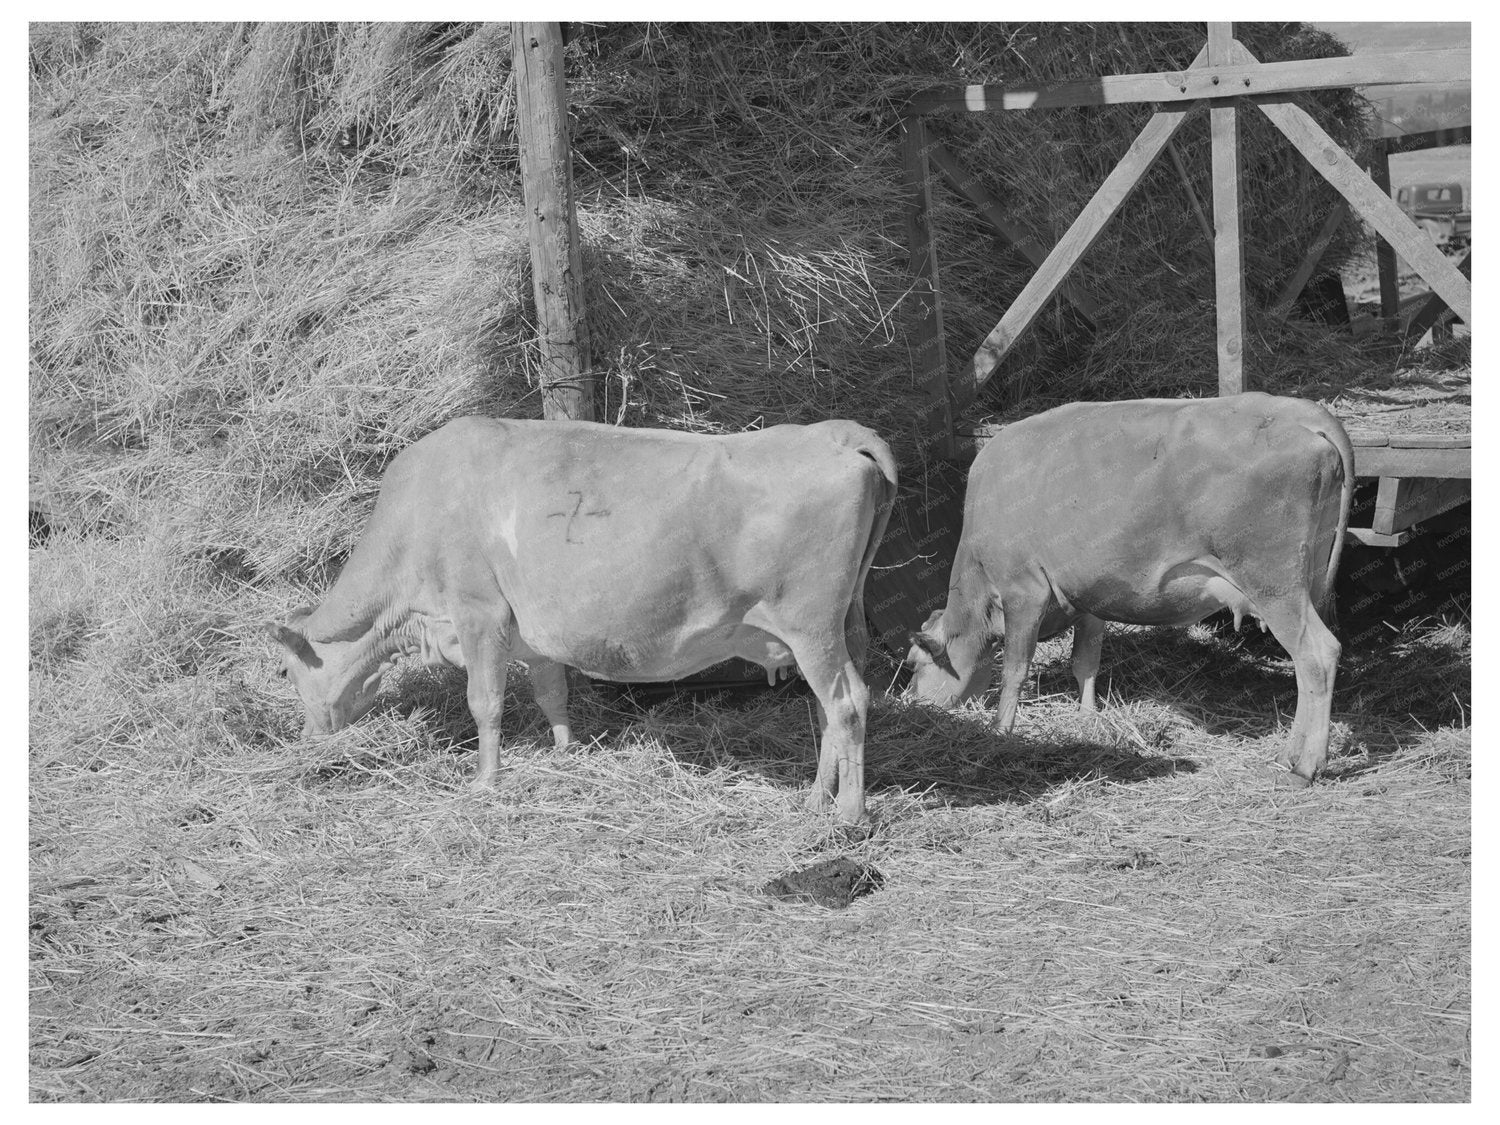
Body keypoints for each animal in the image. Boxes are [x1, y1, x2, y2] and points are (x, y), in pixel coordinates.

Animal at [269, 416, 897, 823]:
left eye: (290, 675)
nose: (306, 739)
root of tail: (839, 433)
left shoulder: (479, 615)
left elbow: (484, 702)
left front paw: (485, 781)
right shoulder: (533, 636)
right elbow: (552, 693)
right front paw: (565, 753)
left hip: (810, 624)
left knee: (847, 703)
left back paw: (848, 815)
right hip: (836, 626)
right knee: (829, 707)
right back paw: (816, 799)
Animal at [905, 393, 1353, 786]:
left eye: (913, 665)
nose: (910, 704)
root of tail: (1303, 412)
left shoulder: (1023, 590)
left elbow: (1014, 669)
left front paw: (1000, 731)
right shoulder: (1088, 598)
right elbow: (1085, 662)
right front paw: (1088, 718)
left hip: (1272, 581)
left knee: (1317, 654)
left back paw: (1305, 767)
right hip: (1306, 578)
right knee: (1305, 666)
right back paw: (1289, 755)